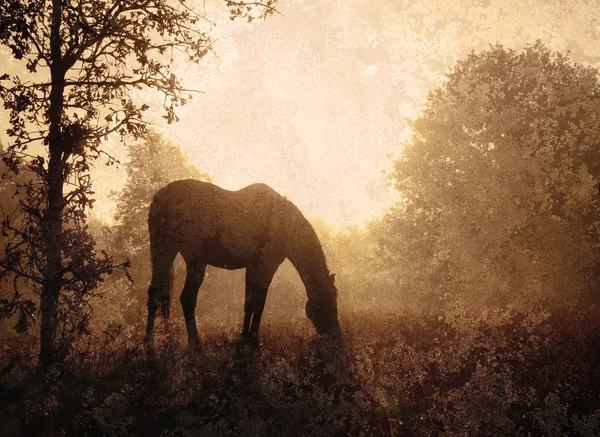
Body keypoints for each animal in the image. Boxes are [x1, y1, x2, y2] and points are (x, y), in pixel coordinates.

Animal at [143, 179, 342, 350]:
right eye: (329, 303)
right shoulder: (266, 266)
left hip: (173, 254)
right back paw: (182, 342)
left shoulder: (253, 267)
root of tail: (159, 198)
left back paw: (163, 341)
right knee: (180, 297)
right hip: (185, 257)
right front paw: (253, 339)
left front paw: (244, 338)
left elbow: (250, 303)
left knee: (162, 294)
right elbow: (259, 303)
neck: (283, 224)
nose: (337, 338)